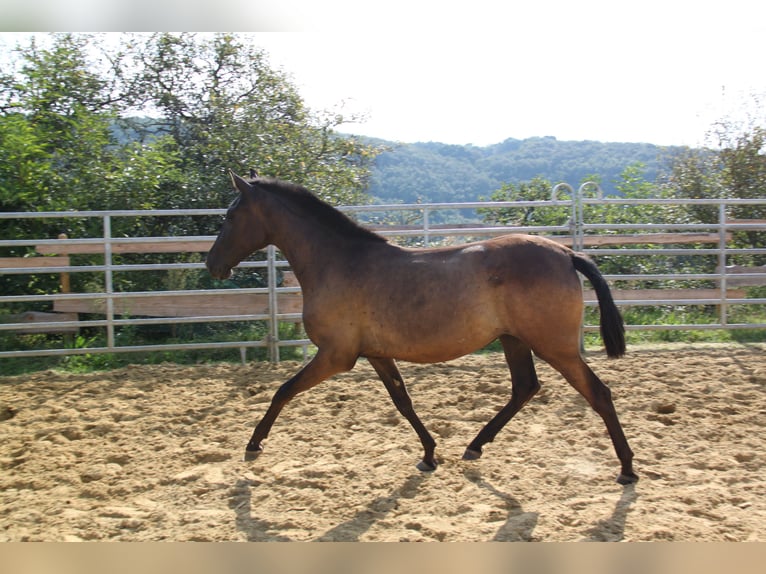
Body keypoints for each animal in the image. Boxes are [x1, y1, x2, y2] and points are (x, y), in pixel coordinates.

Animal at [207, 172, 640, 486]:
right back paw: (474, 447)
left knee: (598, 393)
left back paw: (627, 469)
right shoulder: (376, 354)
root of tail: (567, 253)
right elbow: (403, 401)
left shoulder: (336, 355)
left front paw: (253, 445)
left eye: (230, 216)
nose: (212, 264)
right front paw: (430, 454)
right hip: (514, 340)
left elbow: (283, 390)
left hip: (555, 345)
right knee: (525, 388)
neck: (338, 262)